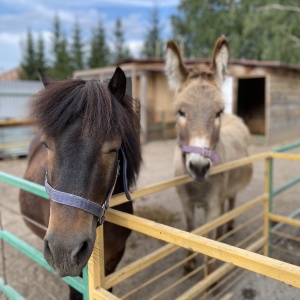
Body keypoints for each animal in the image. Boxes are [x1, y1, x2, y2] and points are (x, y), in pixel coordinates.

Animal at [165, 36, 252, 270]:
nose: (199, 167)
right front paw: (189, 264)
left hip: (231, 190)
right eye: (180, 112)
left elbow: (208, 239)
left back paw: (228, 228)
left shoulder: (212, 204)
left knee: (230, 204)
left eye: (218, 112)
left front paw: (210, 270)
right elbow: (191, 229)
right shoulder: (186, 203)